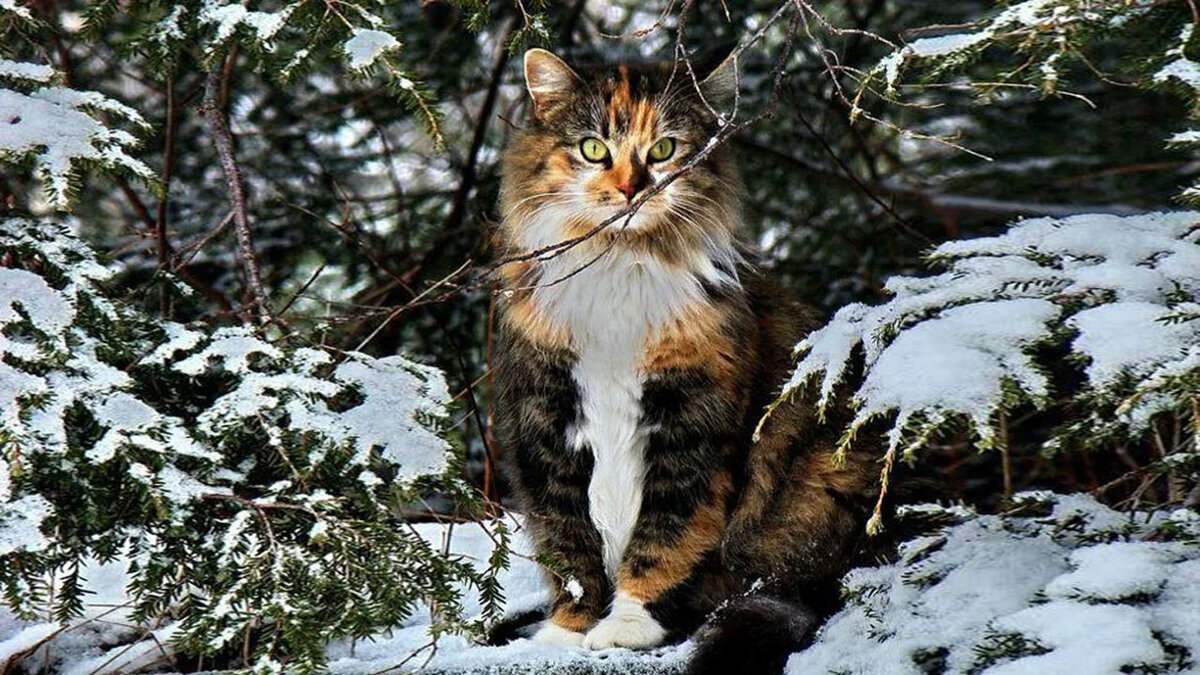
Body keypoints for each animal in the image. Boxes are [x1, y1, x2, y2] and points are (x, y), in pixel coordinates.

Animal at [492, 48, 878, 672]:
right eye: (593, 149)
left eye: (664, 150)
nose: (631, 188)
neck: (618, 270)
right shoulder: (546, 425)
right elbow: (569, 550)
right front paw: (567, 632)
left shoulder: (692, 426)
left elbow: (664, 539)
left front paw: (627, 625)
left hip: (818, 485)